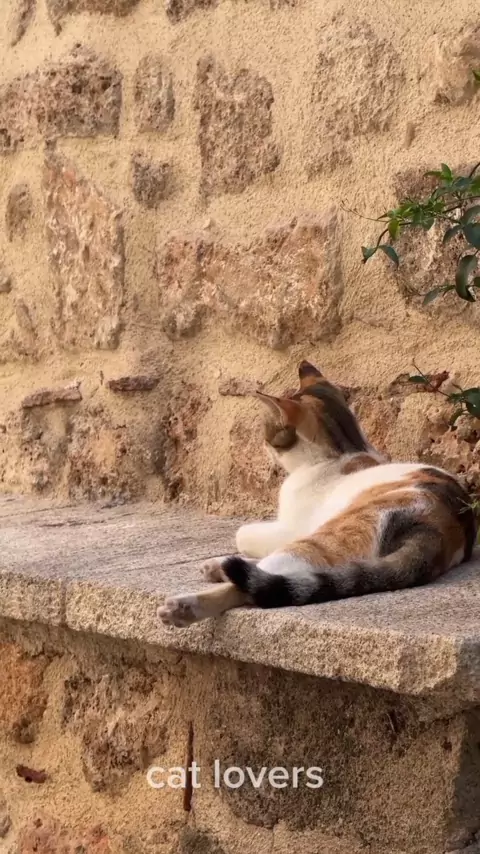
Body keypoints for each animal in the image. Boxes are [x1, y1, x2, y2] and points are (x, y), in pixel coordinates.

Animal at [158, 360, 476, 628]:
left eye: (268, 434)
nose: (263, 446)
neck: (341, 452)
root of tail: (443, 527)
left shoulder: (289, 527)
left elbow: (242, 533)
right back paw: (218, 568)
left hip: (329, 534)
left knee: (259, 582)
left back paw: (186, 606)